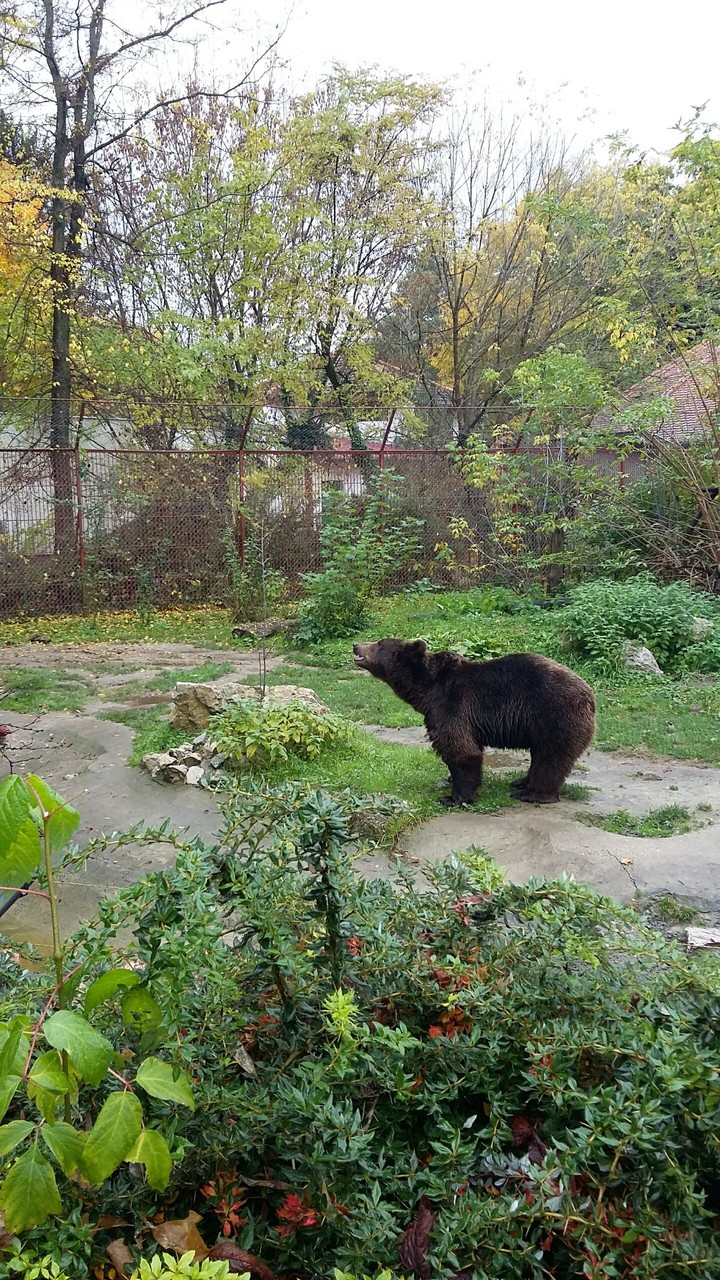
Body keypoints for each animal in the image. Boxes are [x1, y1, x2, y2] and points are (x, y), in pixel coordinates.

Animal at [352, 639, 595, 806]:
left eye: (379, 643)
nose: (356, 645)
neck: (426, 689)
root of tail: (590, 694)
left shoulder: (453, 704)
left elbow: (460, 749)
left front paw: (454, 797)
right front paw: (450, 781)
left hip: (554, 714)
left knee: (550, 756)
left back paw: (532, 793)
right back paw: (521, 782)